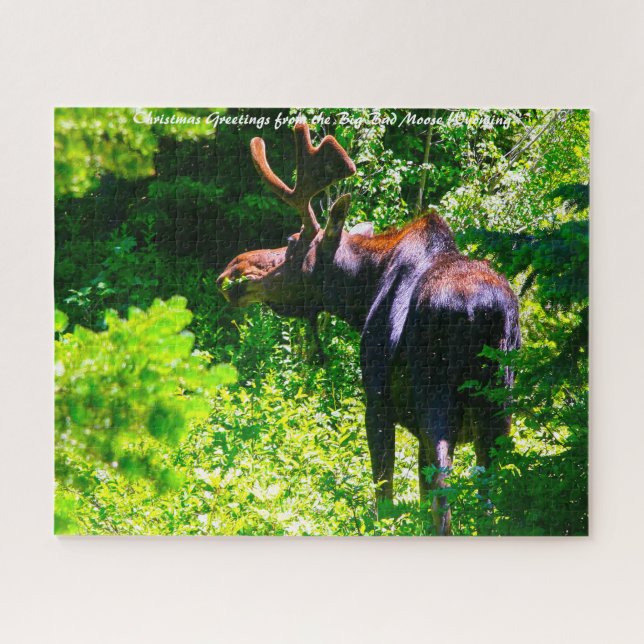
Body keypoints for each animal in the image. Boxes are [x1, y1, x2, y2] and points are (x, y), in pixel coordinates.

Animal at [217, 123, 521, 535]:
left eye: (293, 245)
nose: (232, 269)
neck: (363, 297)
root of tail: (483, 311)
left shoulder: (377, 398)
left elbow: (385, 494)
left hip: (438, 395)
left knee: (444, 490)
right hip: (500, 401)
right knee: (490, 492)